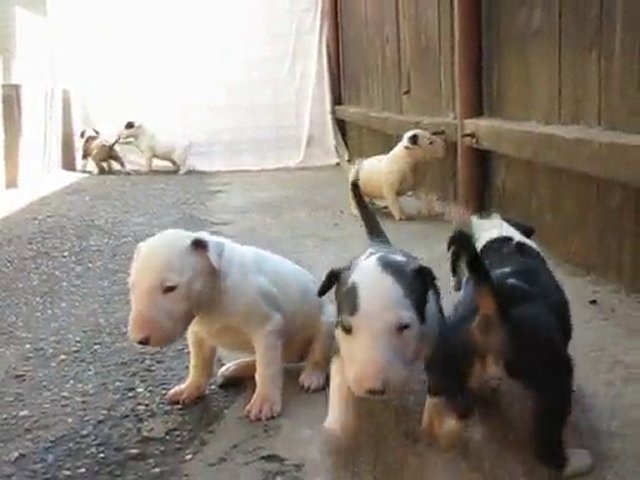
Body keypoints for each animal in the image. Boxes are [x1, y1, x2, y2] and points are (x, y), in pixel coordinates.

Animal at [126, 229, 336, 420]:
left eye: (170, 288)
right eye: (132, 286)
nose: (139, 339)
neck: (215, 294)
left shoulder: (267, 328)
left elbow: (266, 369)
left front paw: (264, 403)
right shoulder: (198, 333)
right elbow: (199, 365)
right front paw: (189, 389)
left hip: (327, 324)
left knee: (315, 355)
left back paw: (312, 376)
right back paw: (234, 369)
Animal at [316, 174, 444, 434]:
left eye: (404, 327)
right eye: (346, 328)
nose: (372, 389)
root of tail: (380, 245)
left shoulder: (437, 336)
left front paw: (433, 424)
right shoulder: (339, 346)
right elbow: (338, 376)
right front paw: (337, 425)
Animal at [422, 216, 592, 478]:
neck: (501, 235)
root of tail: (491, 310)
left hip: (446, 361)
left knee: (450, 403)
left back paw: (438, 430)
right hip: (555, 376)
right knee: (546, 442)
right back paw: (575, 462)